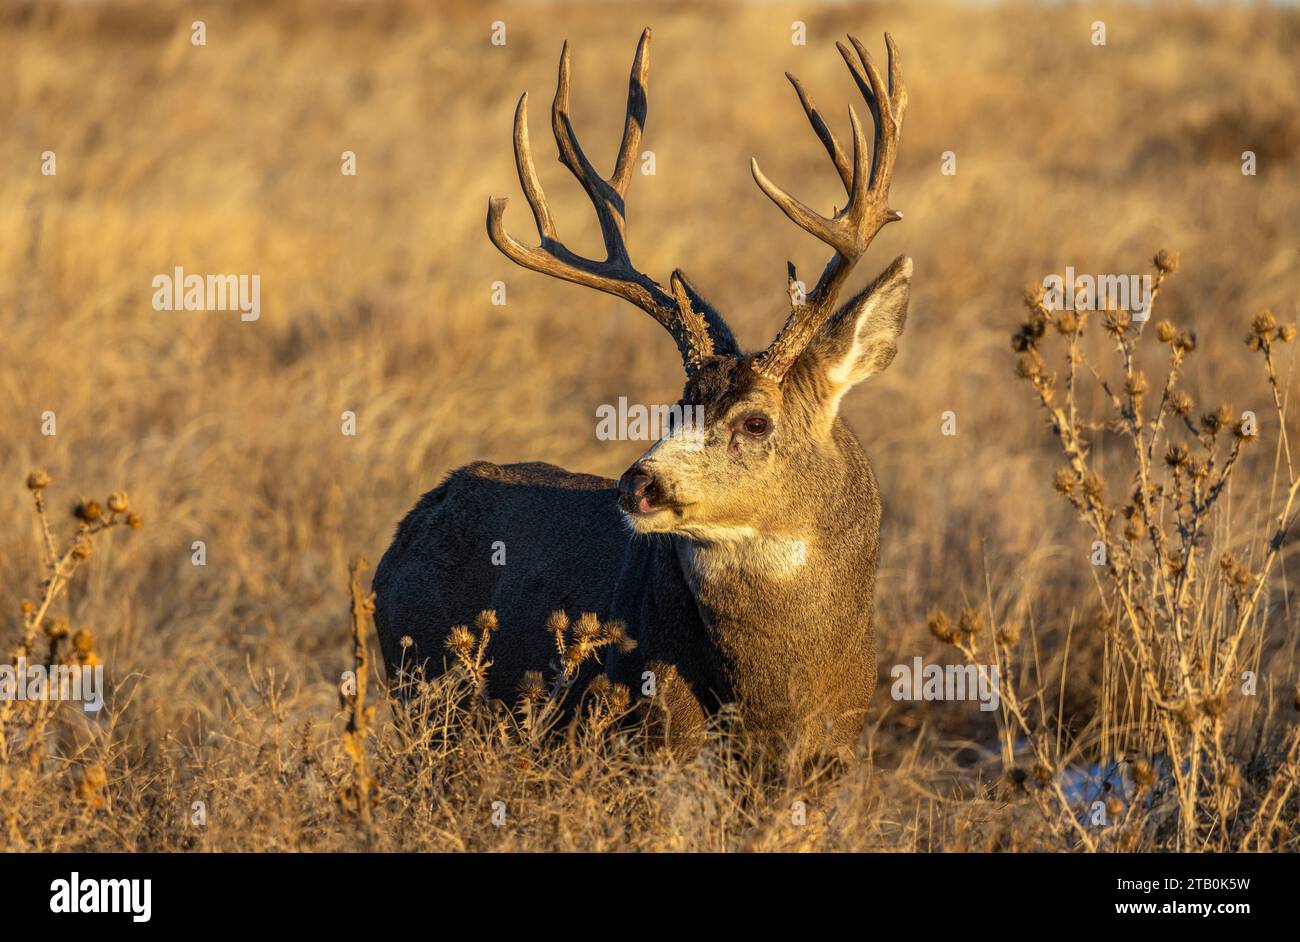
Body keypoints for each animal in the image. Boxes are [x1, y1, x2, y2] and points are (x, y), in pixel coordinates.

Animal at [371, 27, 909, 763]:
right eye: (674, 407)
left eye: (756, 423)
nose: (638, 484)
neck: (782, 699)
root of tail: (408, 527)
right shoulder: (652, 733)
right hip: (421, 694)